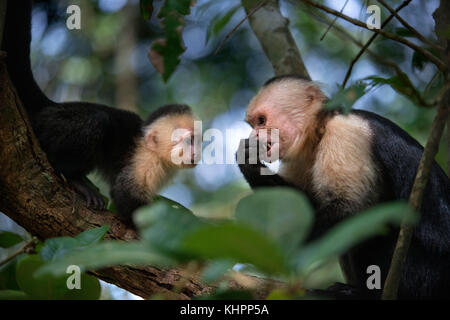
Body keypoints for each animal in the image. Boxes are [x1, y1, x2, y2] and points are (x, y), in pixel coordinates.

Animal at [2, 0, 200, 220]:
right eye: (187, 141)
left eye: (197, 140)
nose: (195, 152)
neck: (155, 152)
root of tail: (52, 105)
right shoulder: (144, 162)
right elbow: (125, 196)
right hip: (54, 124)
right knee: (97, 120)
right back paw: (73, 177)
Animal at [237, 75, 448, 300]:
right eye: (253, 124)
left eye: (261, 121)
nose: (255, 136)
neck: (319, 129)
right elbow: (299, 205)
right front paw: (249, 161)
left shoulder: (345, 135)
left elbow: (348, 210)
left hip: (426, 275)